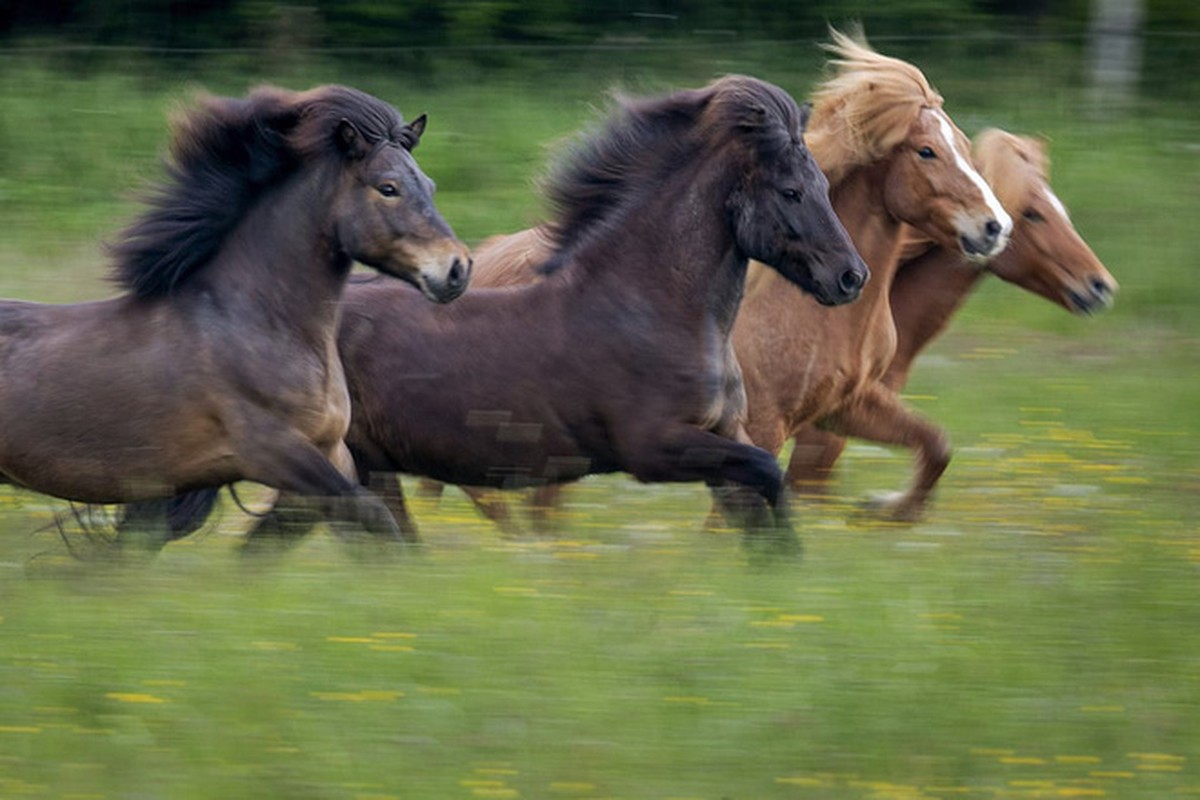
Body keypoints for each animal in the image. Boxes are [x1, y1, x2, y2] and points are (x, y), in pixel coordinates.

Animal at [0, 84, 468, 546]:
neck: (255, 324)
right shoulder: (272, 452)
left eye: (429, 185)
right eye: (388, 188)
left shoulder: (331, 452)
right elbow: (372, 515)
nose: (457, 268)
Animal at [412, 31, 1012, 534]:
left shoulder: (843, 405)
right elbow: (734, 511)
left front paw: (885, 511)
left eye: (963, 144)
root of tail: (472, 265)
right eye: (926, 151)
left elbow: (935, 444)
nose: (994, 226)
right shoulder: (759, 425)